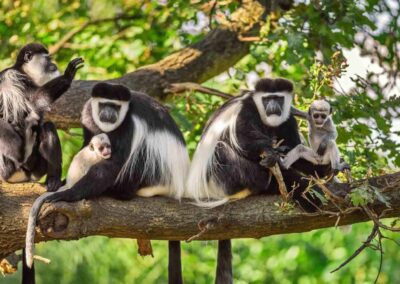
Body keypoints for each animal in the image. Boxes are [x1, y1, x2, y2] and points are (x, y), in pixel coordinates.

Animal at [0, 43, 83, 190]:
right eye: (48, 59)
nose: (54, 64)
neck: (24, 72)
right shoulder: (12, 77)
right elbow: (32, 104)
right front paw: (67, 76)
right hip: (13, 164)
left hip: (37, 169)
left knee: (47, 127)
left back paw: (53, 180)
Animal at [35, 82, 189, 284]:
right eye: (104, 104)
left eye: (115, 106)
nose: (108, 113)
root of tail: (177, 185)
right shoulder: (88, 114)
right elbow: (87, 144)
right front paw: (62, 182)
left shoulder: (129, 125)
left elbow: (113, 163)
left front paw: (67, 194)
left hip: (155, 174)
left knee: (140, 154)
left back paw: (120, 192)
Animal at [188, 77, 334, 282]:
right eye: (266, 99)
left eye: (278, 98)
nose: (272, 106)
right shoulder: (246, 110)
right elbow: (243, 138)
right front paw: (270, 151)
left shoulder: (287, 119)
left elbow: (293, 148)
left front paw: (320, 167)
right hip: (222, 178)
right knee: (222, 148)